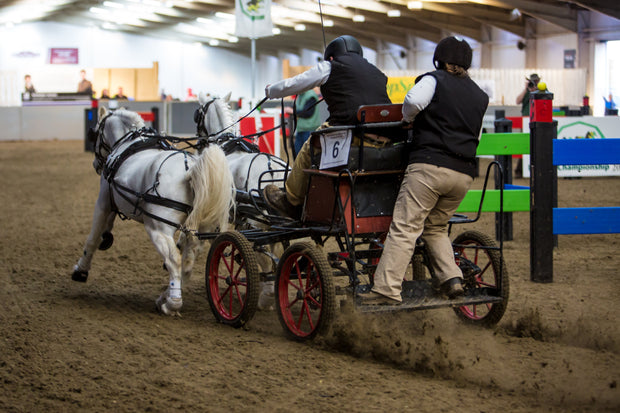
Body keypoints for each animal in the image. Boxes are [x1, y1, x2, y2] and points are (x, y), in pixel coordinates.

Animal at [72, 106, 235, 316]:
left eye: (94, 133)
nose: (95, 164)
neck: (129, 142)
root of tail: (190, 170)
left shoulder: (104, 201)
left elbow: (92, 238)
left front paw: (81, 270)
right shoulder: (113, 201)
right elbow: (105, 228)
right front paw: (106, 239)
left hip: (158, 228)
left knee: (174, 260)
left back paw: (172, 303)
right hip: (200, 229)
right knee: (187, 264)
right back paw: (164, 298)